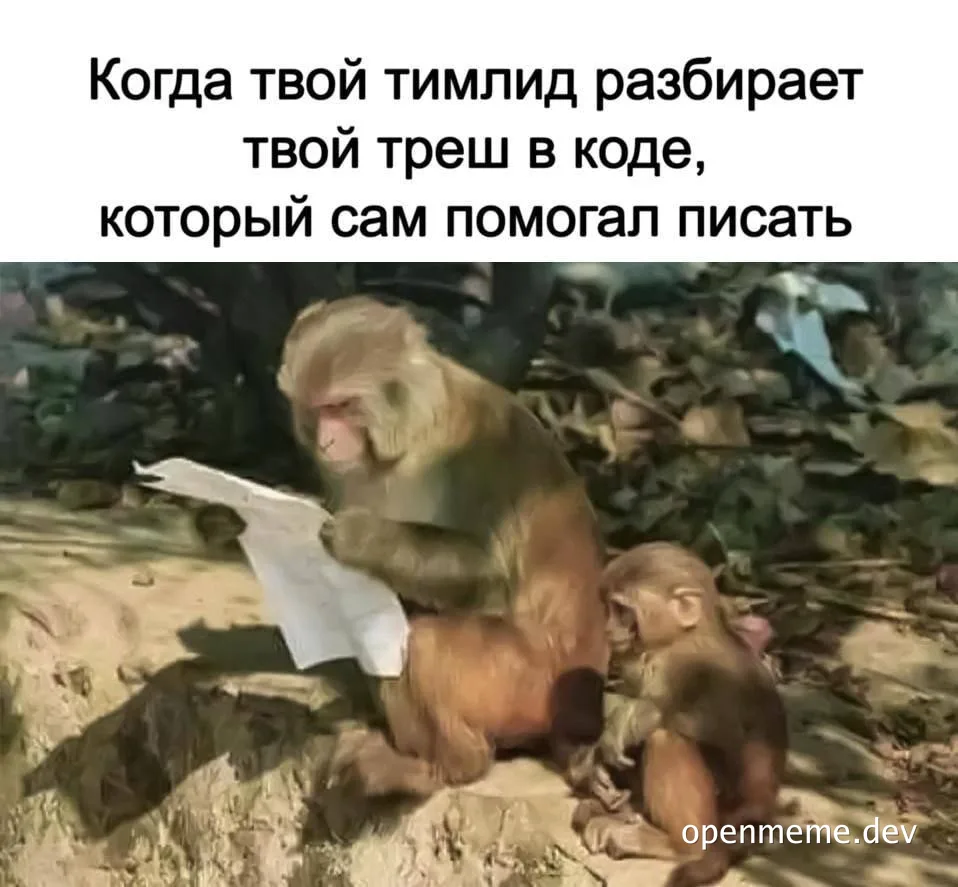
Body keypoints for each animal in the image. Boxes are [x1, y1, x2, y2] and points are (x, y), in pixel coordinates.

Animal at [275, 295, 608, 798]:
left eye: (343, 405)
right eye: (316, 409)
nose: (327, 441)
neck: (409, 438)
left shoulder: (472, 450)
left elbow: (488, 572)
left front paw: (360, 537)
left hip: (530, 683)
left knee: (426, 642)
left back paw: (449, 767)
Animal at [570, 542, 788, 887]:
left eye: (621, 610)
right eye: (609, 609)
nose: (608, 629)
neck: (682, 636)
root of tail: (762, 803)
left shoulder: (686, 665)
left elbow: (713, 727)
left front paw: (619, 729)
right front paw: (592, 767)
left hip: (724, 806)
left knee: (665, 738)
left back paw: (679, 845)